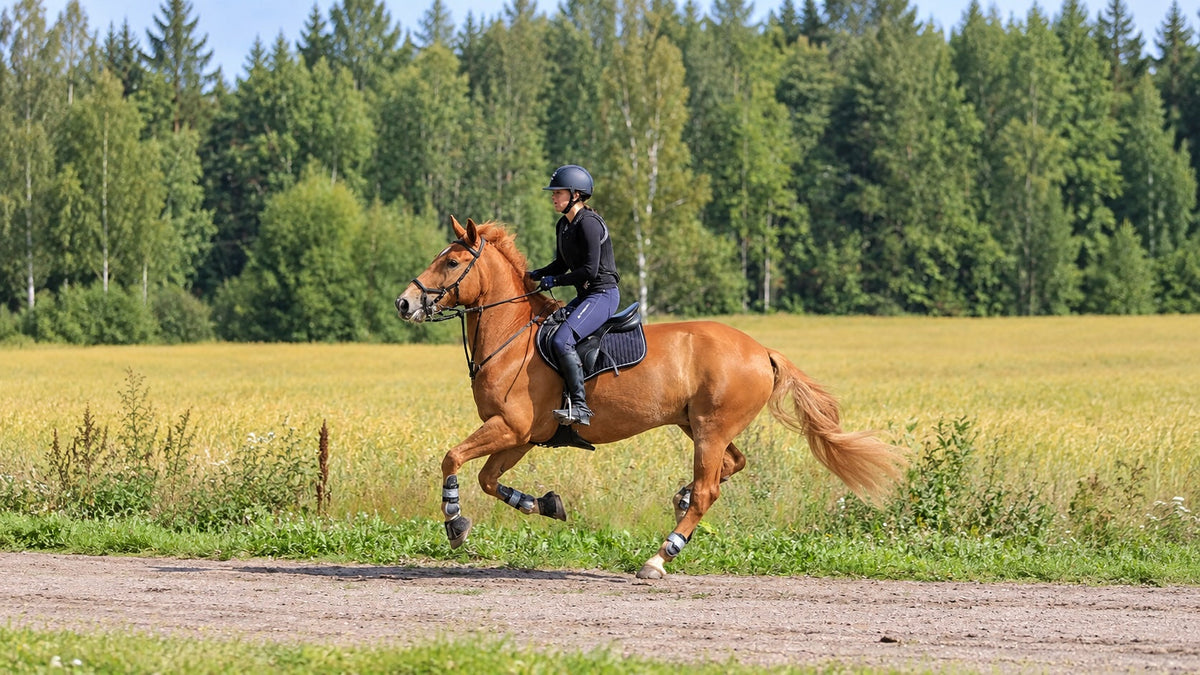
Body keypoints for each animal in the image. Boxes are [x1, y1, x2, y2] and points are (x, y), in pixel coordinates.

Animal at [395, 217, 907, 579]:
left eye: (451, 263)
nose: (404, 303)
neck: (513, 335)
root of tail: (762, 350)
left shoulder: (511, 427)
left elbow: (451, 458)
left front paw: (454, 522)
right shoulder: (522, 436)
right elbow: (486, 479)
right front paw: (546, 505)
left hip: (710, 429)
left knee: (709, 489)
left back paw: (660, 557)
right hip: (699, 425)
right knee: (731, 466)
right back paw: (679, 498)